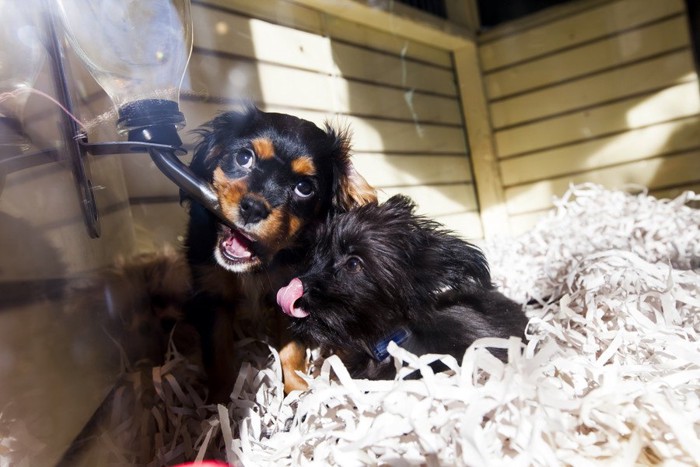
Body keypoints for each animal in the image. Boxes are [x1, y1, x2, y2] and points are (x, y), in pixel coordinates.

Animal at [183, 107, 374, 402]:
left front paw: (297, 393)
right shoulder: (212, 295)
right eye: (244, 157)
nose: (253, 208)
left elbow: (291, 352)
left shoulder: (290, 294)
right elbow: (218, 355)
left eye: (304, 188)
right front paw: (219, 404)